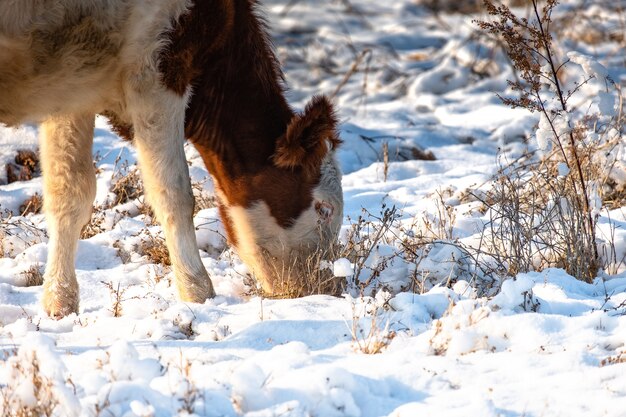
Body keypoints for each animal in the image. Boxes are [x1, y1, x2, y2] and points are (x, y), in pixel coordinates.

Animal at [0, 0, 342, 316]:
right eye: (324, 209)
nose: (323, 287)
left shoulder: (73, 89)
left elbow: (70, 193)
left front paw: (60, 302)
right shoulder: (158, 69)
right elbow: (173, 194)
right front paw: (198, 292)